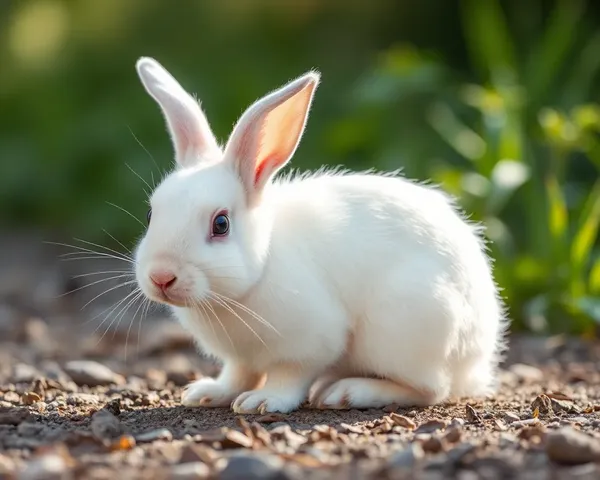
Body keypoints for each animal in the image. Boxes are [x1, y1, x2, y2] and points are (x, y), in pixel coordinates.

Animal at [132, 57, 506, 412]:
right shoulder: (240, 358)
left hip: (404, 331)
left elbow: (289, 375)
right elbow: (238, 374)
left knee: (431, 390)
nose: (161, 276)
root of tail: (476, 363)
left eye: (220, 224)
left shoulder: (312, 341)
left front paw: (262, 401)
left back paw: (348, 392)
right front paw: (208, 393)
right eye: (150, 214)